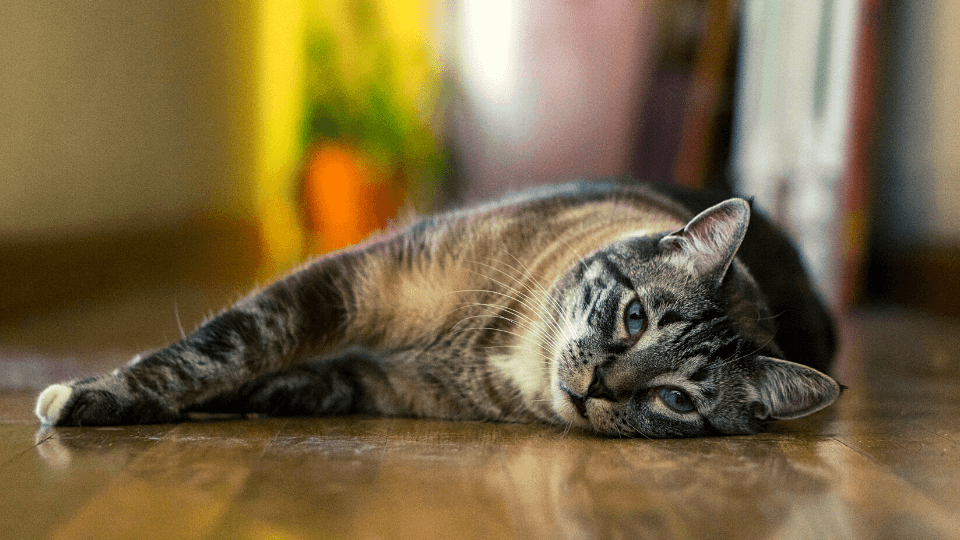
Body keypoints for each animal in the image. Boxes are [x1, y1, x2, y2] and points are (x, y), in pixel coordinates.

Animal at [33, 181, 840, 438]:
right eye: (635, 318)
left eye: (677, 399)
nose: (595, 388)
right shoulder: (351, 283)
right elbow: (221, 348)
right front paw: (97, 395)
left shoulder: (372, 383)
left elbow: (279, 377)